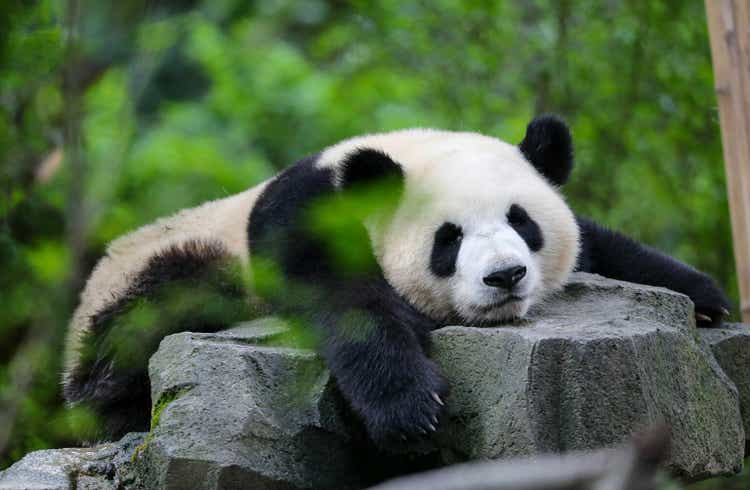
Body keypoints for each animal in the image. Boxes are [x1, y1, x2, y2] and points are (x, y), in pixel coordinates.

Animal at [61, 116, 732, 448]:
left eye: (522, 222)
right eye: (448, 239)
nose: (506, 276)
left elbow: (600, 243)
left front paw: (705, 300)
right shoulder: (297, 216)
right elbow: (346, 302)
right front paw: (411, 406)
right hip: (159, 270)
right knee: (153, 314)